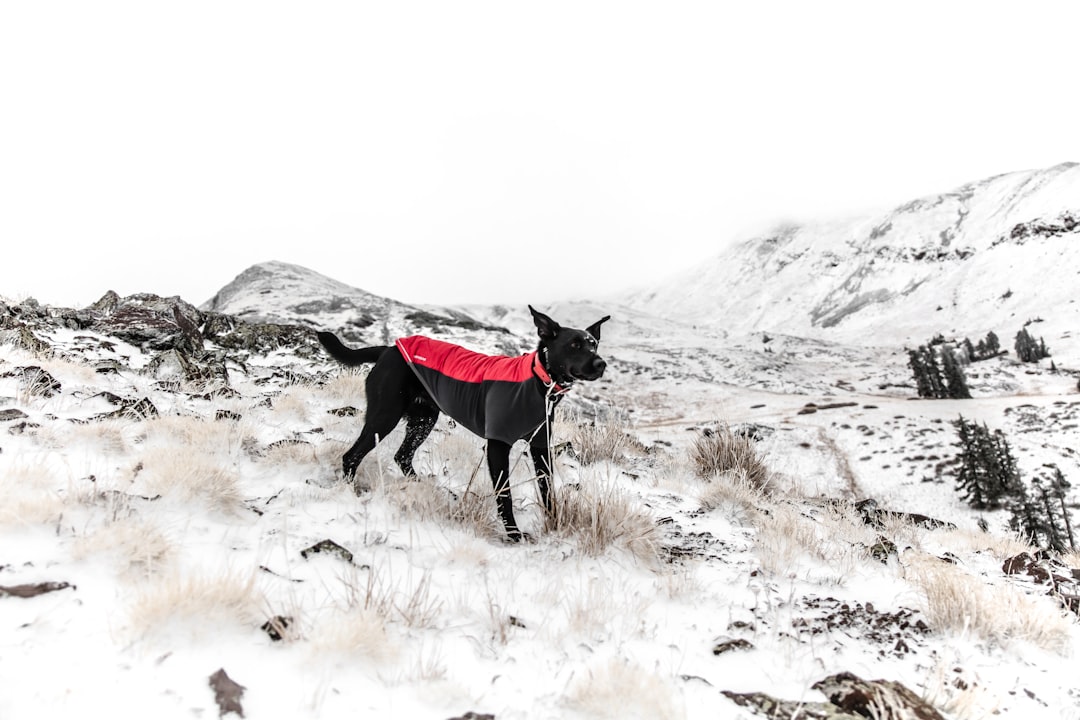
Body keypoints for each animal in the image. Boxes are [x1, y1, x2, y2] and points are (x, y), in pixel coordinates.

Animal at [315, 306, 613, 539]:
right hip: (384, 416)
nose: (601, 364)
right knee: (352, 455)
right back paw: (349, 492)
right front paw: (514, 535)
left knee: (403, 455)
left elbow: (548, 491)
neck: (539, 381)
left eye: (594, 344)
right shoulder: (497, 446)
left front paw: (554, 524)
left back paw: (426, 487)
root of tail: (388, 350)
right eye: (574, 345)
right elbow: (505, 495)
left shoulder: (540, 447)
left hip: (424, 418)